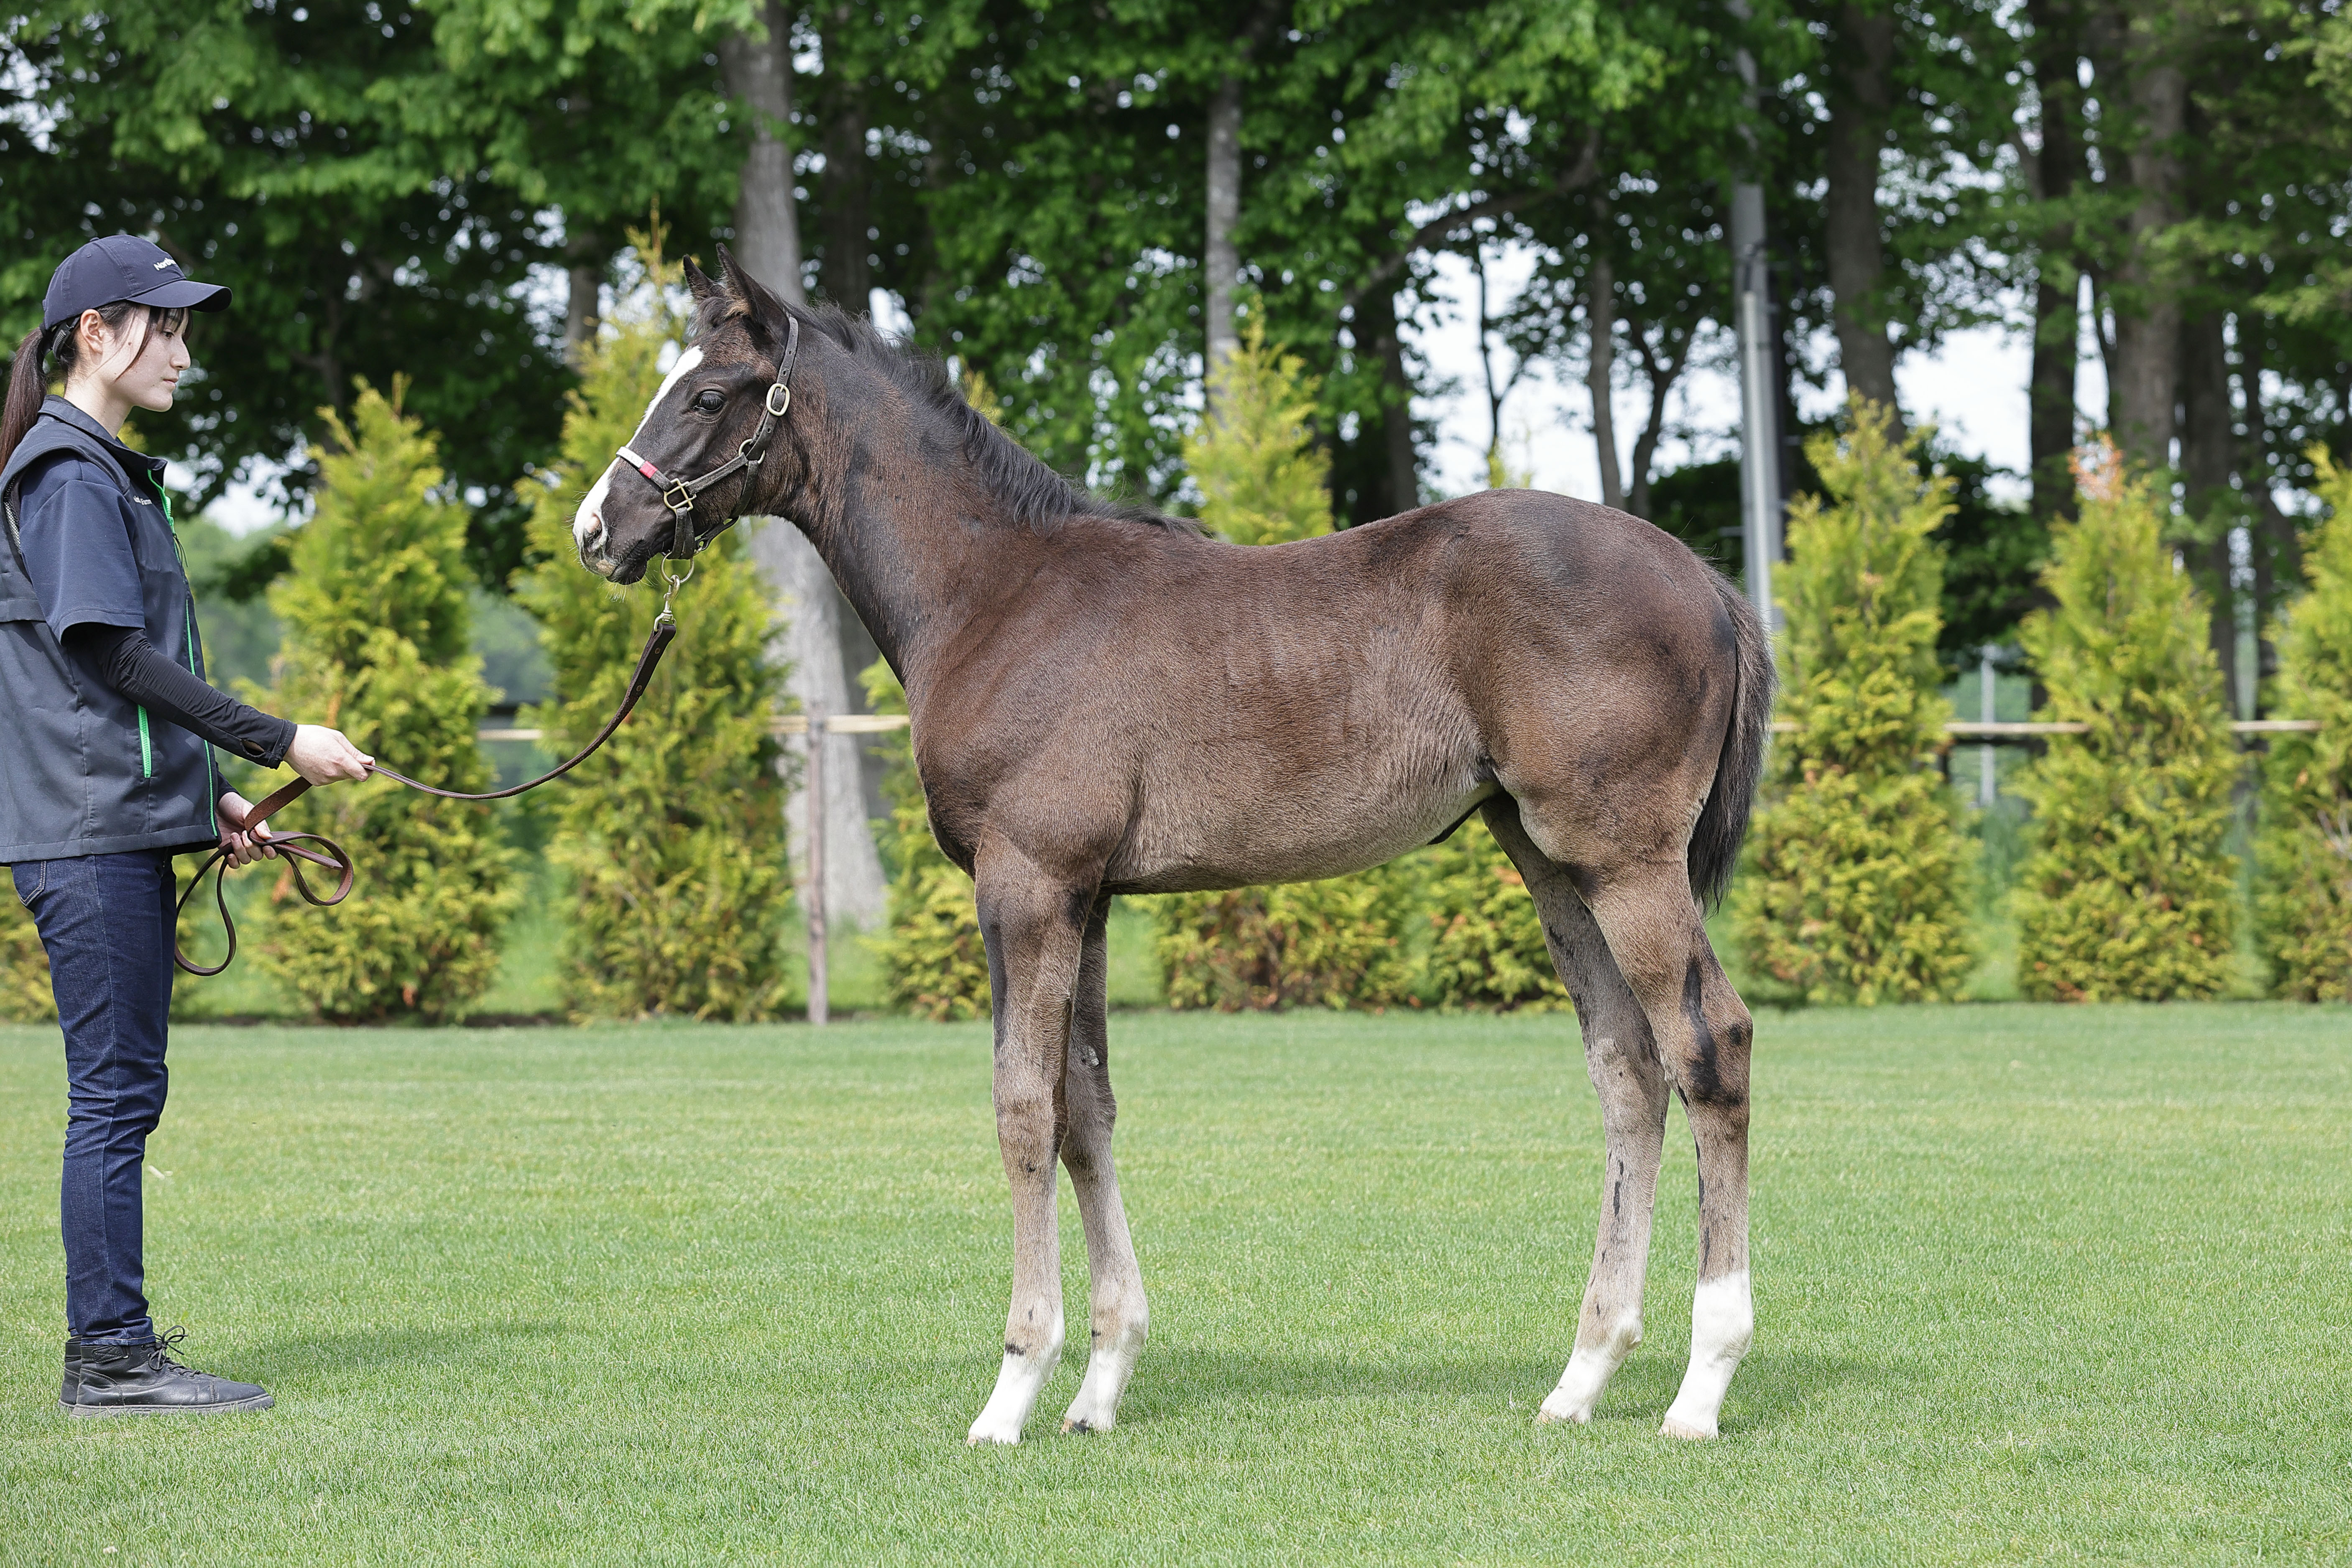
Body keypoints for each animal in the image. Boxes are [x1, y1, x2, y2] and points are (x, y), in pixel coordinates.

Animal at [572, 249, 1775, 1444]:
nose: (597, 529)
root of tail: (1709, 583)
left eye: (706, 395)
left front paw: (1015, 1383)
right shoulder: (1090, 894)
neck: (994, 595)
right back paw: (1583, 1375)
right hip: (1548, 857)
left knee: (1708, 1044)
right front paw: (1100, 1383)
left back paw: (1702, 1383)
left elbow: (1022, 1107)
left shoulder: (1026, 882)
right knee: (1627, 1066)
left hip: (1624, 857)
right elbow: (1086, 1111)